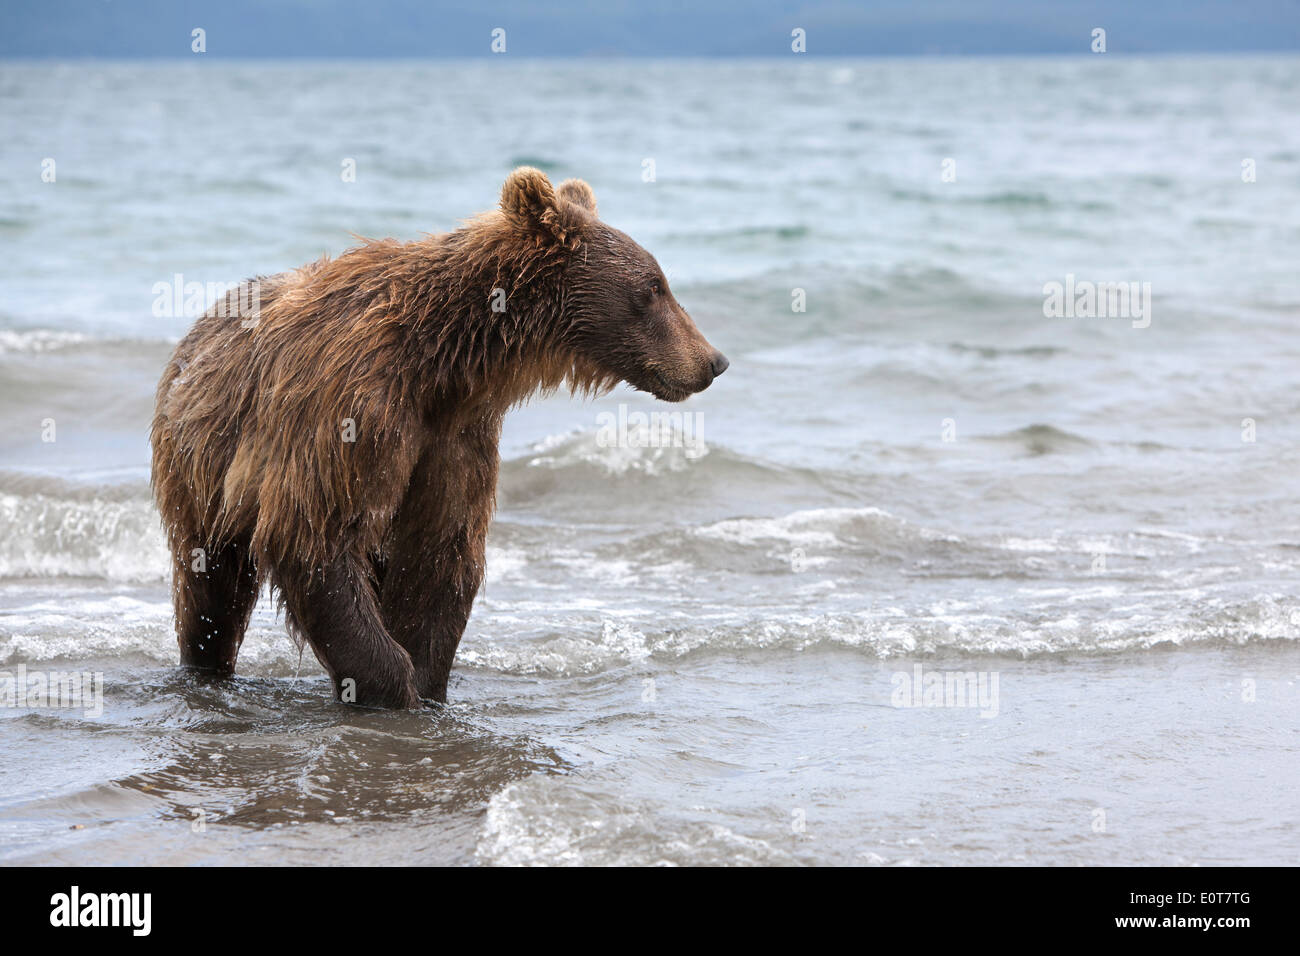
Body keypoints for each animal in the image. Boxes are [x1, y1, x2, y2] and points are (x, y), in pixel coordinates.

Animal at [149, 170, 733, 712]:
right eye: (654, 287)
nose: (713, 360)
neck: (444, 360)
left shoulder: (456, 434)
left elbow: (439, 551)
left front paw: (426, 682)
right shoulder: (348, 408)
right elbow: (317, 534)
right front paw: (389, 686)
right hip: (199, 471)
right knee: (211, 589)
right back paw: (205, 666)